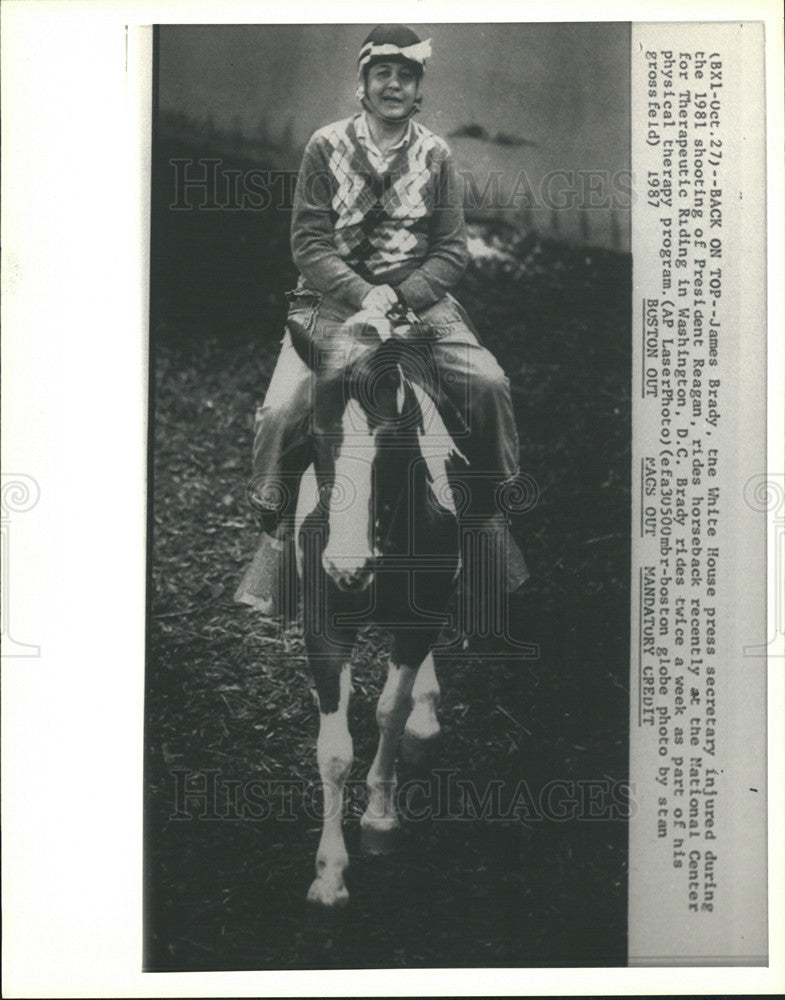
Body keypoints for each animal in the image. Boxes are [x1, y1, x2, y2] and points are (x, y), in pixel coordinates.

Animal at [284, 308, 462, 912]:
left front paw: (381, 821)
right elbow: (335, 751)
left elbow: (390, 709)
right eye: (315, 438)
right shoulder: (324, 630)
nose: (346, 566)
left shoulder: (419, 618)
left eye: (390, 442)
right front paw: (330, 875)